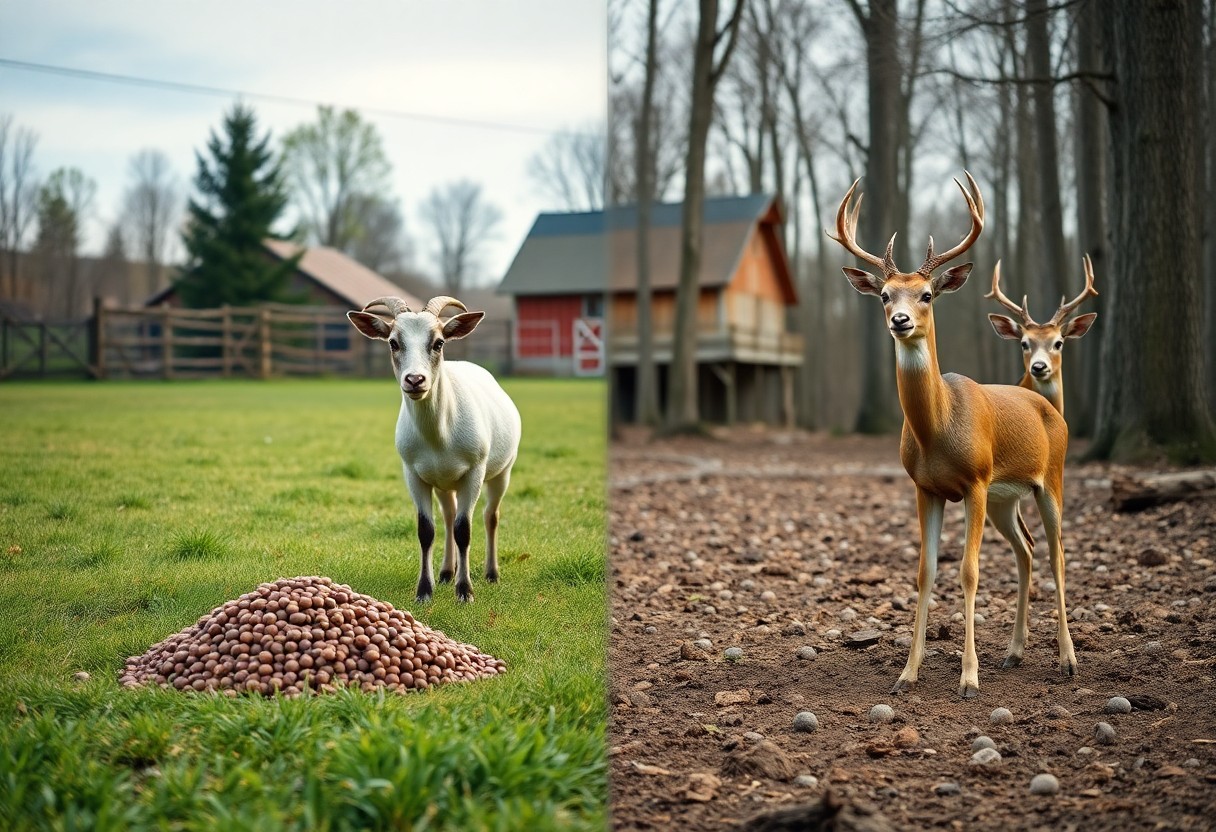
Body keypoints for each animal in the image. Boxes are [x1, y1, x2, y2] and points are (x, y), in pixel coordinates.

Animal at [347, 295, 521, 604]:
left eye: (438, 342)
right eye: (393, 342)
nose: (415, 380)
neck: (439, 435)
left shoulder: (474, 472)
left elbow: (465, 530)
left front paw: (465, 592)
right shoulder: (414, 474)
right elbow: (426, 530)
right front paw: (424, 591)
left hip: (502, 471)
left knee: (490, 516)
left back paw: (491, 574)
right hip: (443, 481)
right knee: (449, 516)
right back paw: (446, 573)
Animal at [827, 173, 1076, 698]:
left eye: (926, 294)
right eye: (885, 295)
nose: (899, 321)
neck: (938, 430)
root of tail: (1051, 408)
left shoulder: (976, 482)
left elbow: (969, 571)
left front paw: (968, 678)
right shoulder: (926, 488)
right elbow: (926, 572)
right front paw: (906, 673)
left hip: (1050, 479)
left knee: (1057, 552)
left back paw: (1067, 660)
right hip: (1007, 498)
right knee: (1026, 548)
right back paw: (1014, 652)